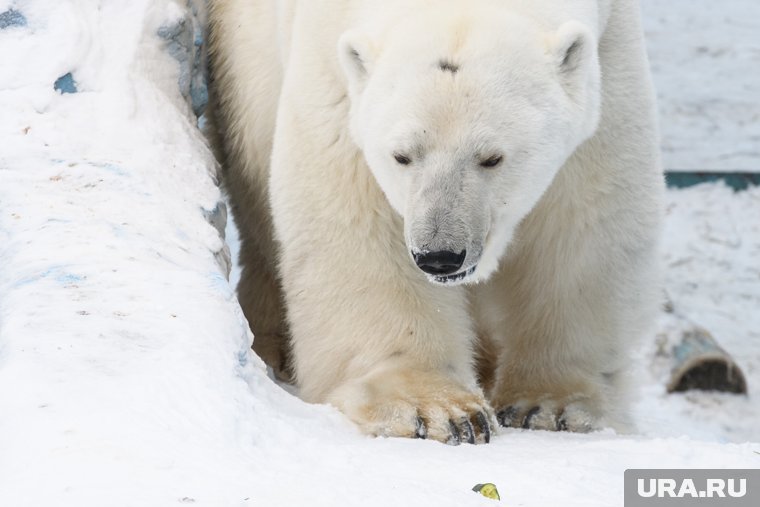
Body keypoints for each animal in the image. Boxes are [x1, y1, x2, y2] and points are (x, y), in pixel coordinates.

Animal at [206, 0, 660, 444]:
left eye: (492, 157)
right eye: (402, 155)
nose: (440, 255)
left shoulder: (608, 54)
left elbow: (585, 220)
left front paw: (550, 406)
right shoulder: (333, 75)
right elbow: (355, 218)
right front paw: (435, 410)